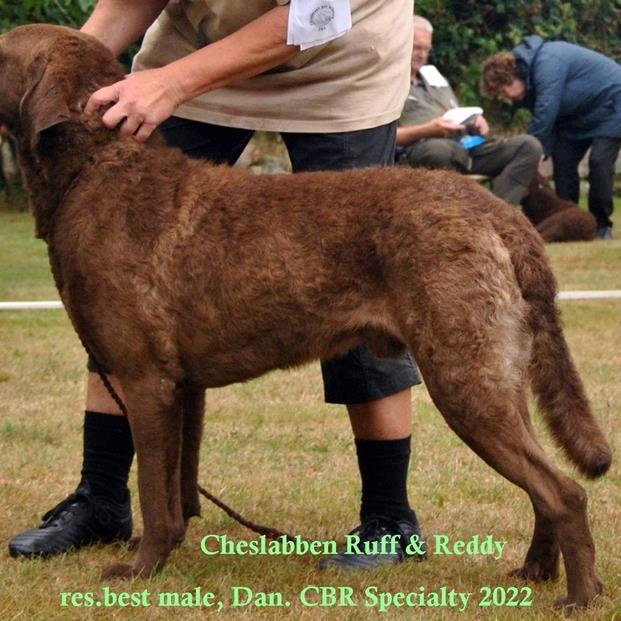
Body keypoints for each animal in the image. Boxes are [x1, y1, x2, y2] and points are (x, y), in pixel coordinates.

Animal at [0, 25, 611, 607]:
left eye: (1, 50)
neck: (95, 168)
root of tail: (501, 213)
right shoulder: (181, 385)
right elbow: (179, 486)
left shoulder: (145, 378)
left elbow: (154, 489)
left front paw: (139, 570)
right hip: (496, 374)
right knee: (543, 485)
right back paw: (534, 571)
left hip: (464, 379)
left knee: (564, 492)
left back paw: (577, 596)